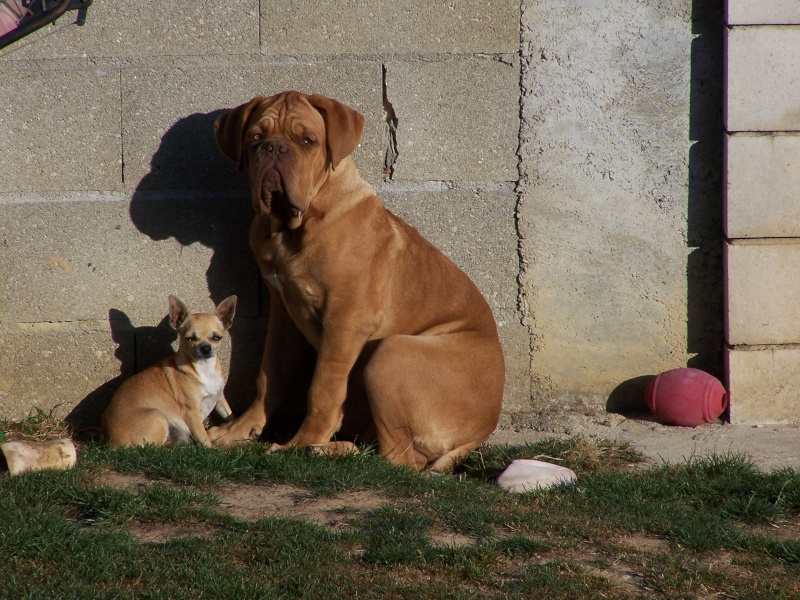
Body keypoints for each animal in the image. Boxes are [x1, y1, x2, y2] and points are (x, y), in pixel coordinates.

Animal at [209, 91, 504, 472]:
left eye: (308, 141)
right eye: (256, 138)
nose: (275, 149)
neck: (292, 228)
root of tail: (484, 429)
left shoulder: (346, 320)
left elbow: (323, 386)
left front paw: (300, 441)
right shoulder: (282, 314)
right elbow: (269, 375)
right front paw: (240, 430)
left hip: (391, 353)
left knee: (397, 460)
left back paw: (314, 449)